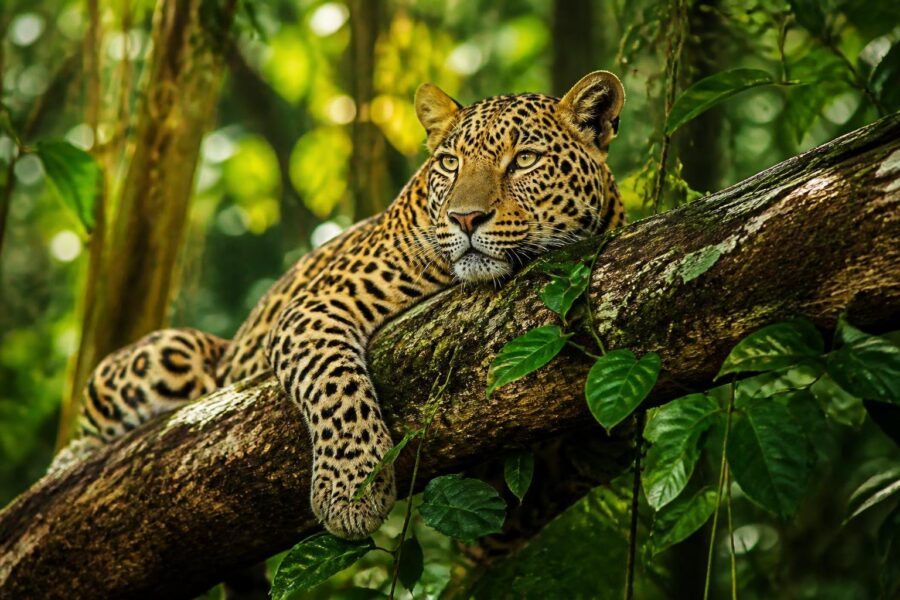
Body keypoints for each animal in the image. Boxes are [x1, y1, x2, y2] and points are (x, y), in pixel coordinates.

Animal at [51, 71, 627, 541]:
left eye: (524, 160)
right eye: (449, 163)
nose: (465, 218)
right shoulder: (314, 307)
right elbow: (335, 384)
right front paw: (351, 490)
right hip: (171, 354)